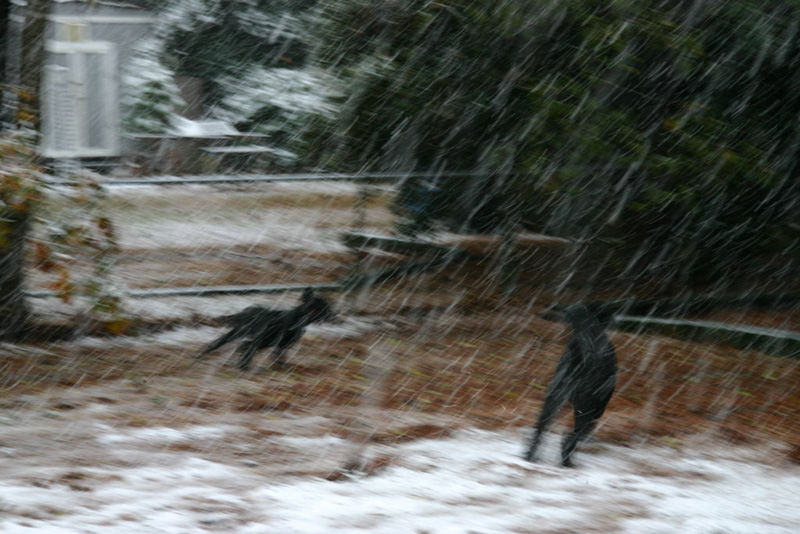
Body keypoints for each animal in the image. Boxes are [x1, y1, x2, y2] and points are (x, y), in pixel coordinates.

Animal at [203, 288, 338, 372]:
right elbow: (272, 354)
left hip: (257, 339)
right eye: (324, 308)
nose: (333, 315)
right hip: (248, 335)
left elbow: (279, 355)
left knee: (232, 343)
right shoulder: (269, 340)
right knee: (237, 345)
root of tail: (245, 312)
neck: (298, 318)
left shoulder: (282, 343)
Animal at [524, 306, 620, 468]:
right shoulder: (597, 408)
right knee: (570, 437)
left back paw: (529, 457)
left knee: (540, 429)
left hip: (554, 398)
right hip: (587, 408)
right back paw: (567, 463)